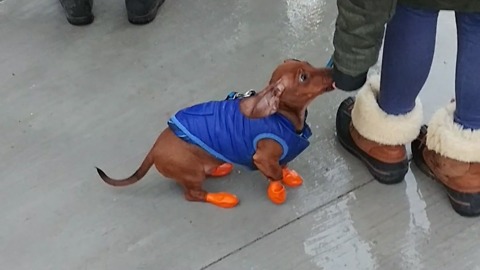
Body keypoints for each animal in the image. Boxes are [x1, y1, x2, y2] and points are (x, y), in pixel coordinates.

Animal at [97, 60, 334, 208]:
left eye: (308, 63)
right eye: (303, 77)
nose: (333, 72)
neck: (282, 116)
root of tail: (154, 149)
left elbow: (282, 166)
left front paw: (288, 175)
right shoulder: (263, 157)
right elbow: (274, 174)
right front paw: (277, 189)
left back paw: (219, 168)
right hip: (192, 174)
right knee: (193, 194)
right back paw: (222, 198)